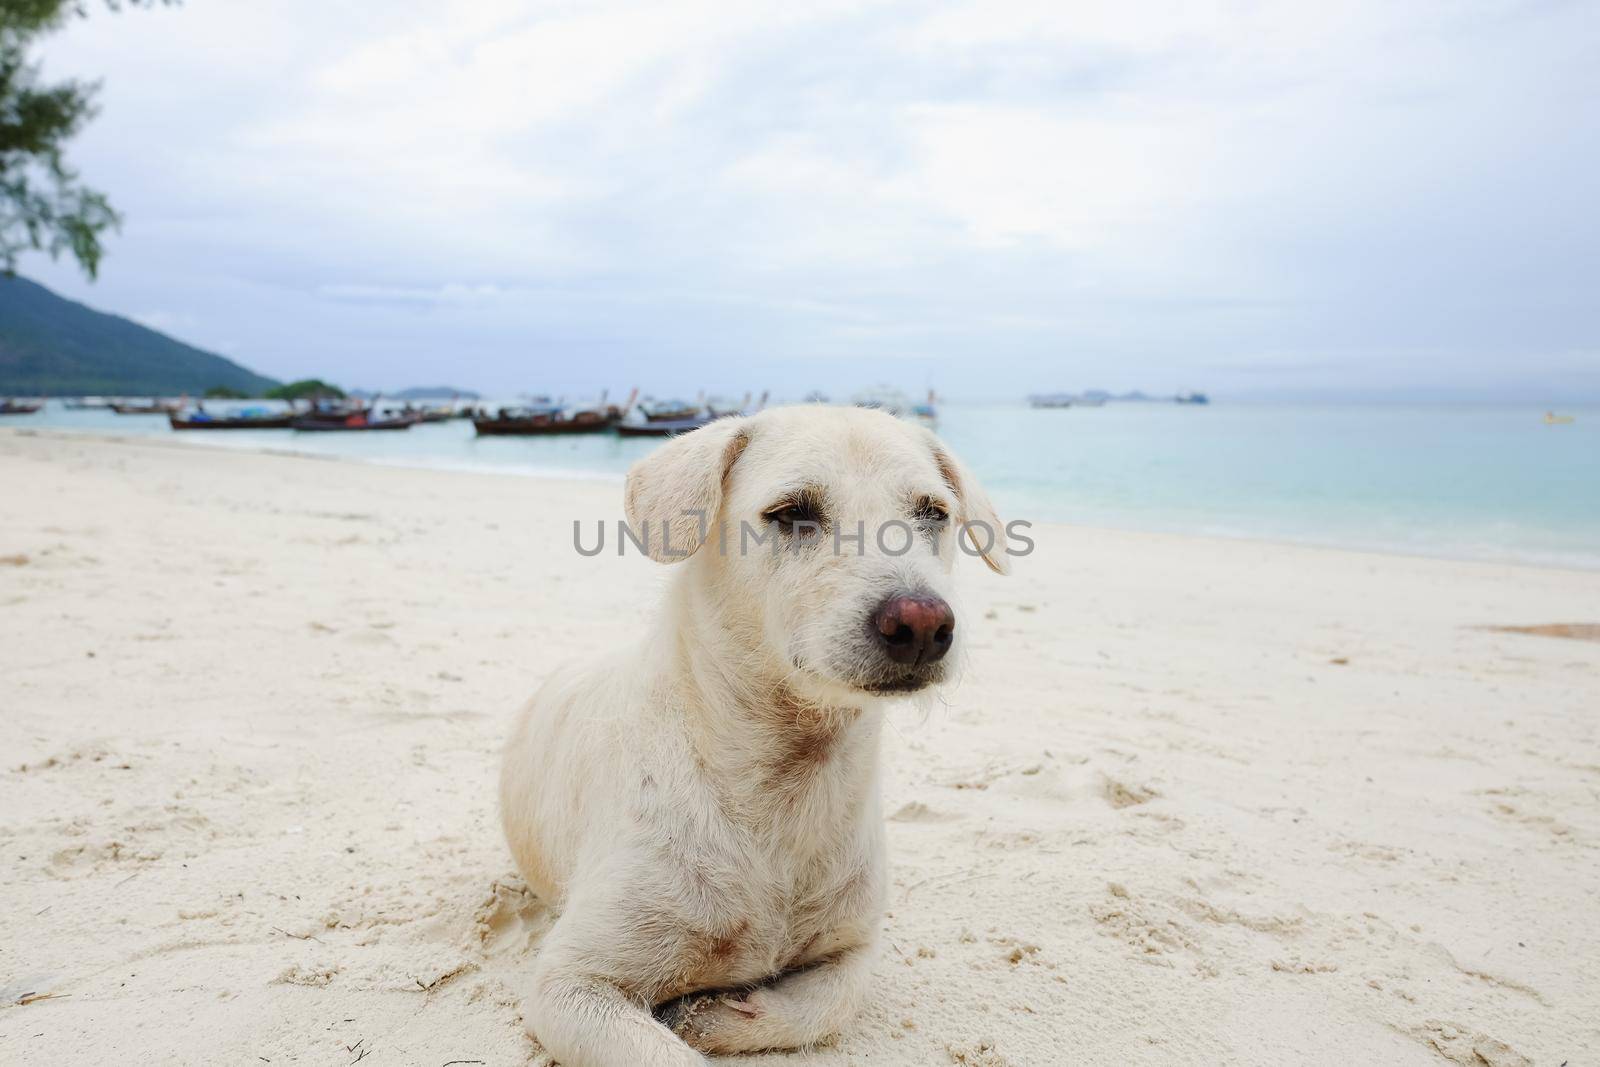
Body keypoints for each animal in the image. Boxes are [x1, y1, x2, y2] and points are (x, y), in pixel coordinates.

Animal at [499, 404, 1004, 1062]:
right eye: (791, 513)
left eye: (934, 513)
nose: (922, 623)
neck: (784, 780)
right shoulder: (570, 983)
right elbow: (662, 1051)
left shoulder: (855, 949)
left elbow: (827, 1004)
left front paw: (708, 1014)